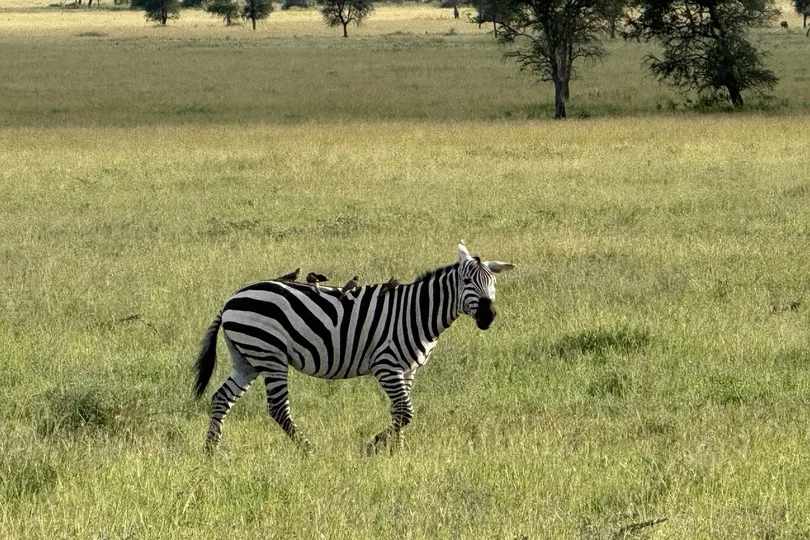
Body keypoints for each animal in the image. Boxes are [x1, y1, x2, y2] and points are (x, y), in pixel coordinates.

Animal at [193, 242, 515, 453]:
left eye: (493, 282)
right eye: (466, 281)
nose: (488, 316)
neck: (417, 311)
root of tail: (231, 299)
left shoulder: (408, 370)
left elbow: (399, 411)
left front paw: (397, 449)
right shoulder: (386, 366)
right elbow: (405, 411)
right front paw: (374, 444)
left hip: (247, 358)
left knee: (222, 398)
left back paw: (211, 450)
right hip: (270, 355)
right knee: (278, 408)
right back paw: (308, 449)